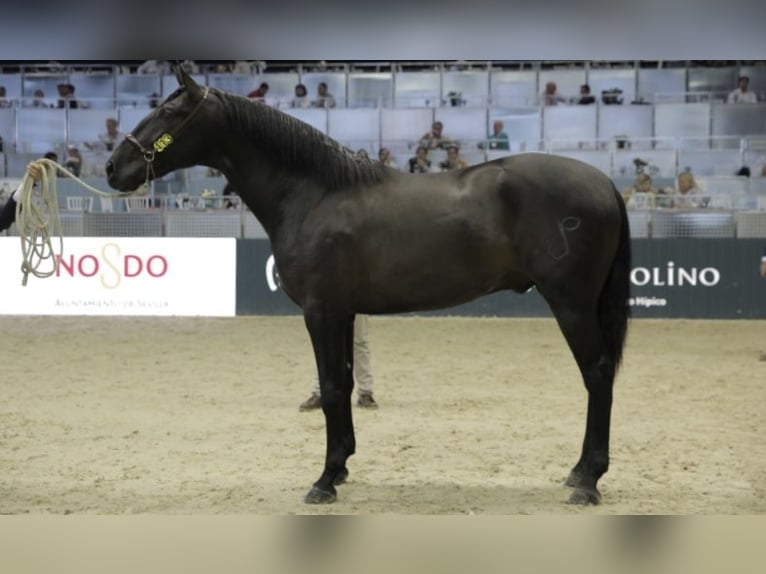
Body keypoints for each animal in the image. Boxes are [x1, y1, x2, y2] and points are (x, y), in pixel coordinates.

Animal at [105, 68, 631, 506]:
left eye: (169, 112)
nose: (113, 166)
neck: (314, 194)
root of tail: (604, 181)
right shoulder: (344, 312)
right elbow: (345, 381)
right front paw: (340, 468)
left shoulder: (320, 311)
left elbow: (333, 387)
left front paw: (323, 481)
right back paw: (578, 473)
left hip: (571, 303)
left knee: (598, 373)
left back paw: (587, 481)